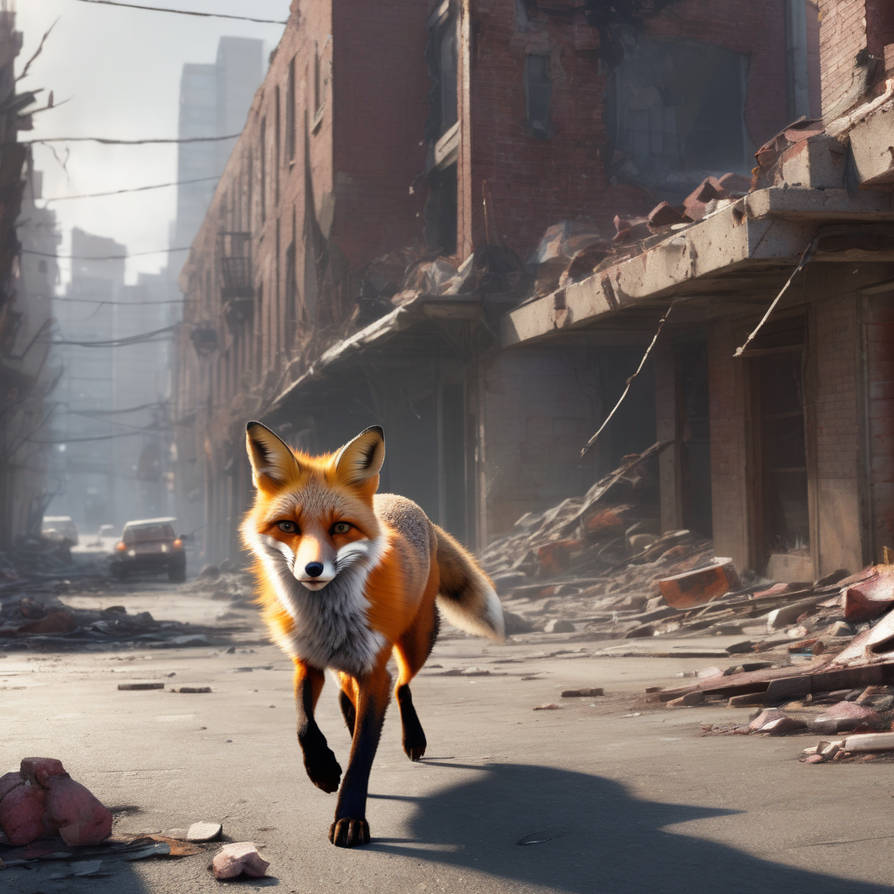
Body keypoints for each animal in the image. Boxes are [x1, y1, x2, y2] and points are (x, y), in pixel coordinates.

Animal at [240, 421, 504, 848]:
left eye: (341, 528)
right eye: (288, 526)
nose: (313, 569)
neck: (328, 618)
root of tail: (398, 499)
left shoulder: (372, 669)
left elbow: (362, 754)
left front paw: (350, 818)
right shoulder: (307, 662)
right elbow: (303, 724)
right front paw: (323, 769)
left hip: (417, 640)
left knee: (401, 684)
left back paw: (412, 737)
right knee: (347, 694)